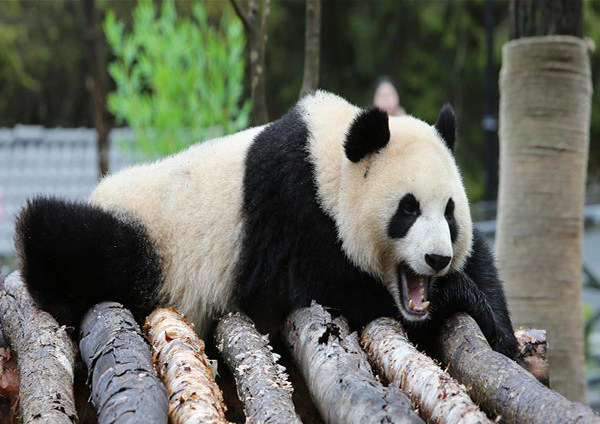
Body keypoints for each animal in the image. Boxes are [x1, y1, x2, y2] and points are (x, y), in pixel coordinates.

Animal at [16, 92, 516, 358]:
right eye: (407, 210)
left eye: (449, 212)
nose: (437, 259)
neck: (329, 162)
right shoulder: (292, 213)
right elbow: (330, 290)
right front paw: (460, 299)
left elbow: (484, 266)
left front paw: (499, 330)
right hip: (145, 237)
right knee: (61, 236)